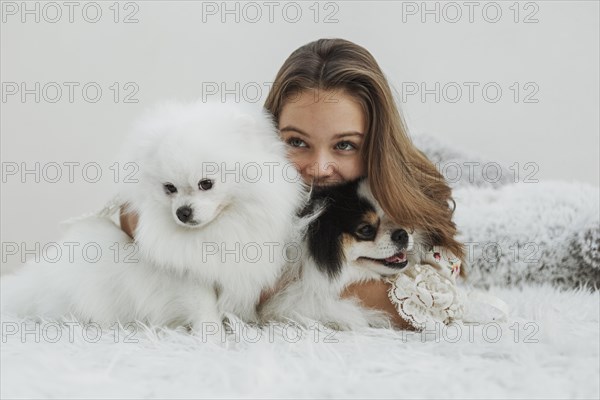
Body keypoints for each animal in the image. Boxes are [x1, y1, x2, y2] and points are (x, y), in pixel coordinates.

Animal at [0, 101, 308, 334]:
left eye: (206, 184)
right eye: (168, 188)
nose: (183, 212)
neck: (217, 230)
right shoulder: (189, 277)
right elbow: (205, 309)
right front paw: (213, 341)